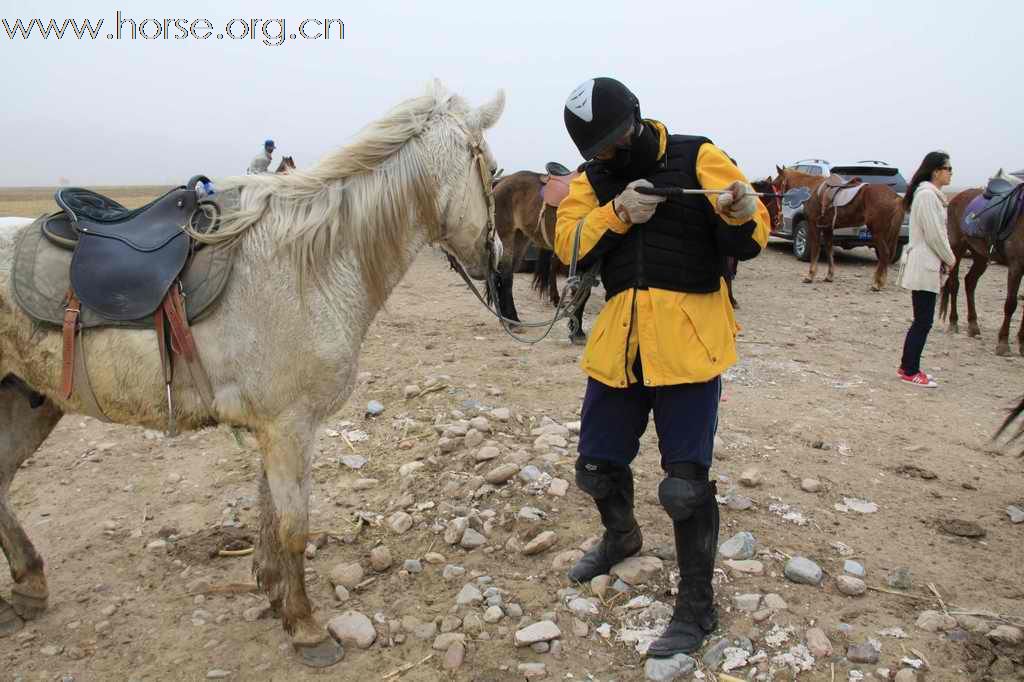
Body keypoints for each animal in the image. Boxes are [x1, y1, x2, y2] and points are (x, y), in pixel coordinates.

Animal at [0, 80, 507, 663]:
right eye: (493, 171)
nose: (497, 259)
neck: (310, 266)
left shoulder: (276, 427)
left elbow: (267, 518)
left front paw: (272, 592)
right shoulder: (290, 428)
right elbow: (293, 528)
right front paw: (307, 627)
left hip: (29, 403)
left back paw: (29, 587)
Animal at [774, 168, 905, 290]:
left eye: (776, 182)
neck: (810, 190)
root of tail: (896, 198)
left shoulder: (813, 225)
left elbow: (815, 249)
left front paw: (810, 276)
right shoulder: (827, 227)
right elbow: (829, 249)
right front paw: (829, 276)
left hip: (877, 232)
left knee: (885, 253)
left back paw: (877, 284)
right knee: (887, 255)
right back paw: (881, 282)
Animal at [937, 175, 1024, 352]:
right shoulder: (1016, 266)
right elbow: (1011, 303)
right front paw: (1003, 343)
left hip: (980, 255)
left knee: (970, 282)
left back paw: (973, 325)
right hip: (956, 249)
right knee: (954, 285)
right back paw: (954, 322)